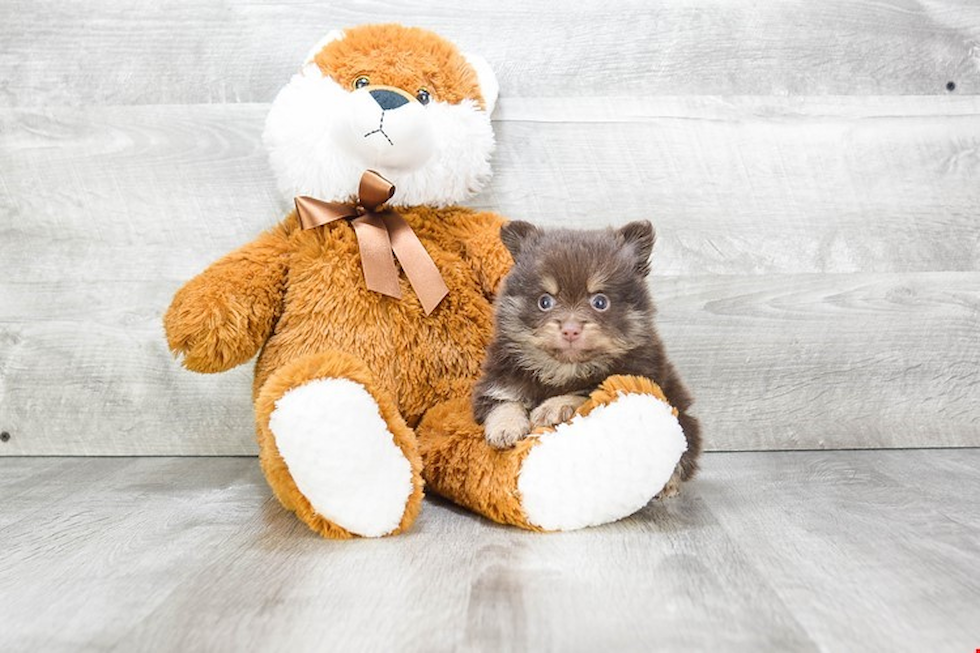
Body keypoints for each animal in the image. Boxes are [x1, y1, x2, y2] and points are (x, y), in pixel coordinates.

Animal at [470, 220, 700, 494]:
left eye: (600, 302)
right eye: (544, 302)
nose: (570, 329)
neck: (563, 369)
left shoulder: (636, 375)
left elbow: (587, 390)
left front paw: (553, 406)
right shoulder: (497, 381)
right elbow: (503, 403)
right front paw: (506, 427)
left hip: (683, 417)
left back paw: (668, 484)